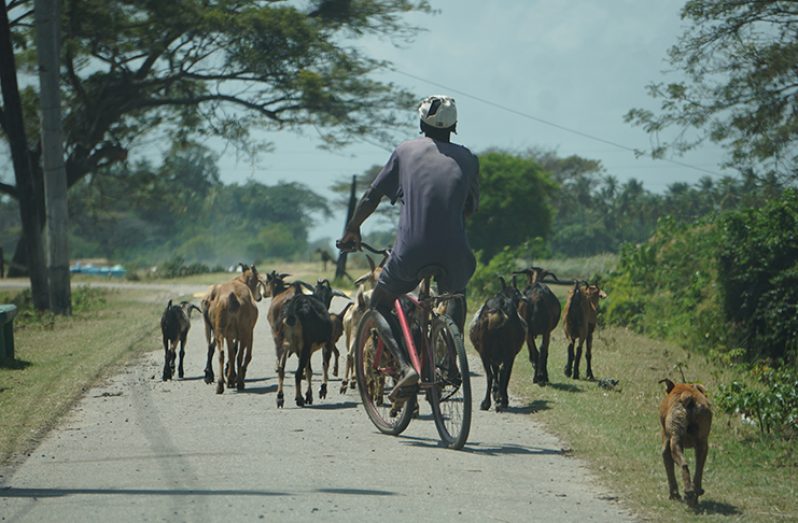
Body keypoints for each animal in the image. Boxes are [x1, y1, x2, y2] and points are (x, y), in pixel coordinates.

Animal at [205, 262, 264, 392]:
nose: (259, 298)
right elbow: (245, 355)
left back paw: (219, 384)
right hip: (243, 331)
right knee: (240, 356)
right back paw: (240, 383)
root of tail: (232, 298)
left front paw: (230, 378)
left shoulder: (229, 335)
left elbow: (231, 353)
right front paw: (234, 378)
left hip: (220, 331)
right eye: (257, 279)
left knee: (221, 353)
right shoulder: (249, 332)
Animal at [468, 278, 532, 414]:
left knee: (490, 374)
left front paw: (497, 394)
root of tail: (498, 309)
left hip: (485, 352)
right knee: (502, 373)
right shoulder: (510, 356)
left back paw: (488, 402)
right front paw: (501, 397)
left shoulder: (496, 357)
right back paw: (499, 401)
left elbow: (497, 372)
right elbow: (504, 374)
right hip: (506, 352)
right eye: (517, 293)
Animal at [660, 380, 716, 508]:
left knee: (684, 465)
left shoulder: (666, 446)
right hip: (702, 445)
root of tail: (688, 397)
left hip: (675, 443)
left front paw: (674, 495)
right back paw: (694, 493)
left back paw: (688, 492)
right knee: (698, 472)